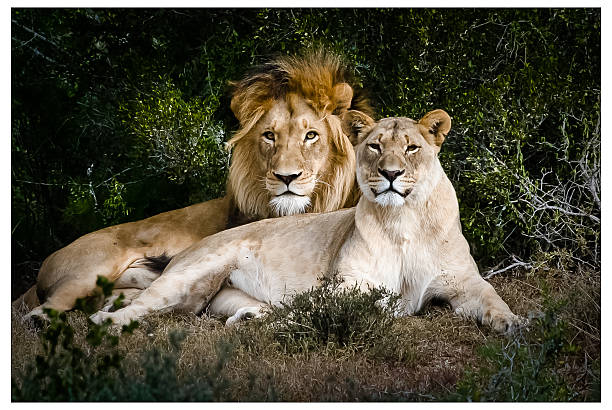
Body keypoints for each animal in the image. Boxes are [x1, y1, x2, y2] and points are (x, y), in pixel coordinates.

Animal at [91, 108, 520, 334]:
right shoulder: (348, 285)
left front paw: (515, 323)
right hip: (189, 273)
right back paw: (105, 320)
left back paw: (252, 319)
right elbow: (371, 304)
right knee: (139, 305)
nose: (391, 173)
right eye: (375, 146)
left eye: (412, 148)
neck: (404, 223)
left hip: (211, 295)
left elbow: (492, 297)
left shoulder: (462, 281)